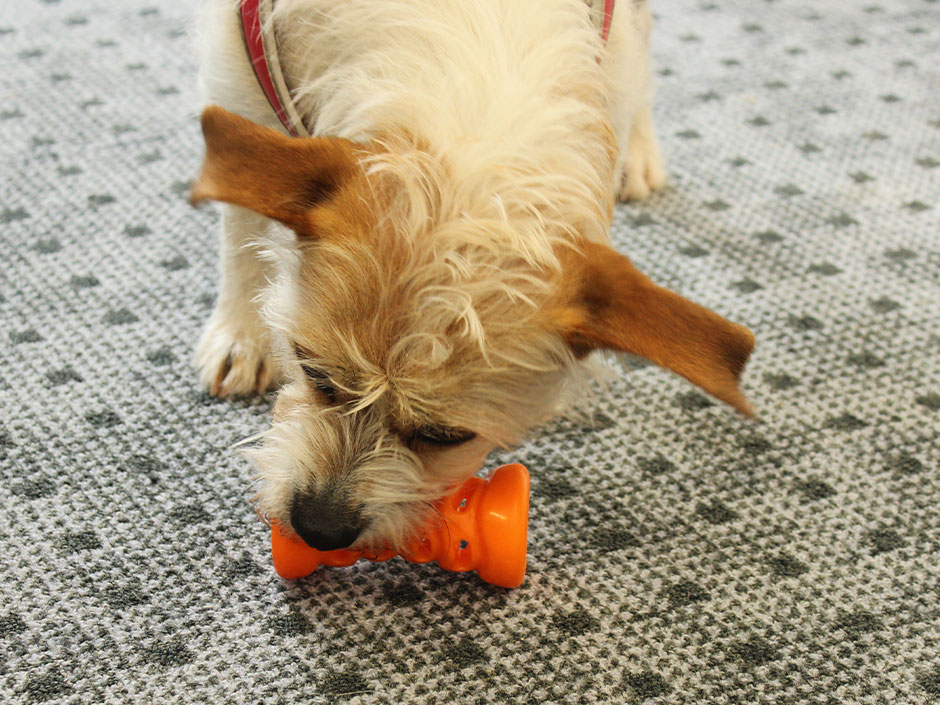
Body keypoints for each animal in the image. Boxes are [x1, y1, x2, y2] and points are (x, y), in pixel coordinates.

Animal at [189, 1, 756, 556]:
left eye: (445, 436)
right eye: (312, 371)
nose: (317, 530)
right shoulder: (239, 68)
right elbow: (239, 226)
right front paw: (242, 335)